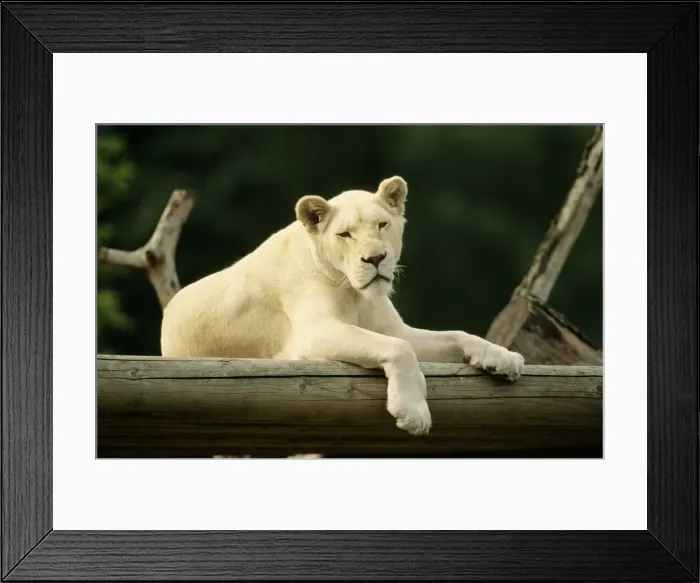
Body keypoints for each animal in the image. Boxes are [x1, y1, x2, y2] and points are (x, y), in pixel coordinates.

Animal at [160, 176, 524, 435]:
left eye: (381, 225)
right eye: (345, 234)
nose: (375, 258)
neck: (356, 294)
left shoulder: (394, 328)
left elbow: (457, 335)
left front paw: (505, 359)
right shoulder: (312, 335)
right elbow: (400, 348)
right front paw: (412, 409)